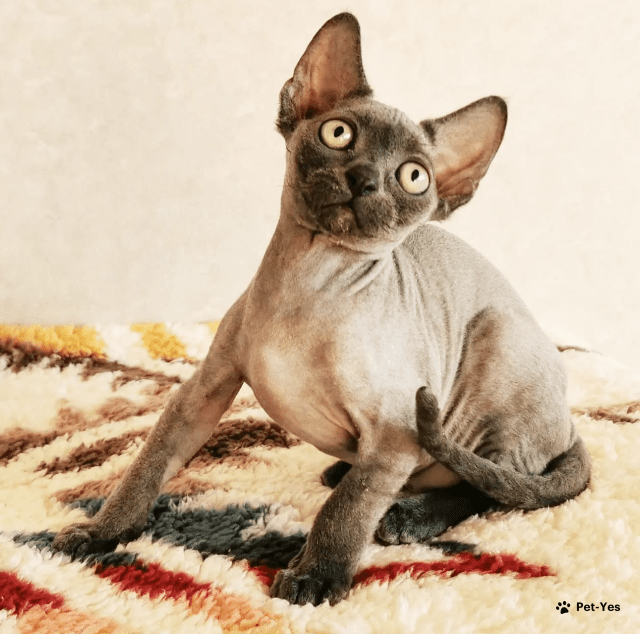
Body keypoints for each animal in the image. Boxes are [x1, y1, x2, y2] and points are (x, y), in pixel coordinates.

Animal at [52, 12, 590, 606]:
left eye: (413, 177)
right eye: (339, 134)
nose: (364, 180)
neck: (307, 285)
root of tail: (569, 424)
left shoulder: (396, 432)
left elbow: (348, 509)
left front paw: (316, 576)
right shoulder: (203, 390)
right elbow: (147, 465)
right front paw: (102, 533)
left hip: (493, 341)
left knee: (496, 486)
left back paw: (407, 517)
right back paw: (349, 475)